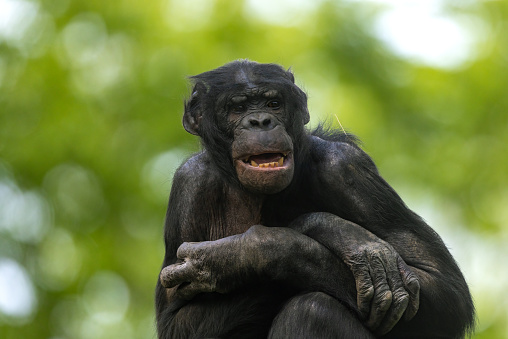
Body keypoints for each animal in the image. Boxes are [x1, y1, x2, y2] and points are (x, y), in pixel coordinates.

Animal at [154, 61, 472, 339]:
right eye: (238, 108)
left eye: (273, 104)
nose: (260, 121)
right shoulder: (189, 187)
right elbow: (177, 320)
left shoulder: (347, 168)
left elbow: (443, 287)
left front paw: (251, 250)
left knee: (313, 309)